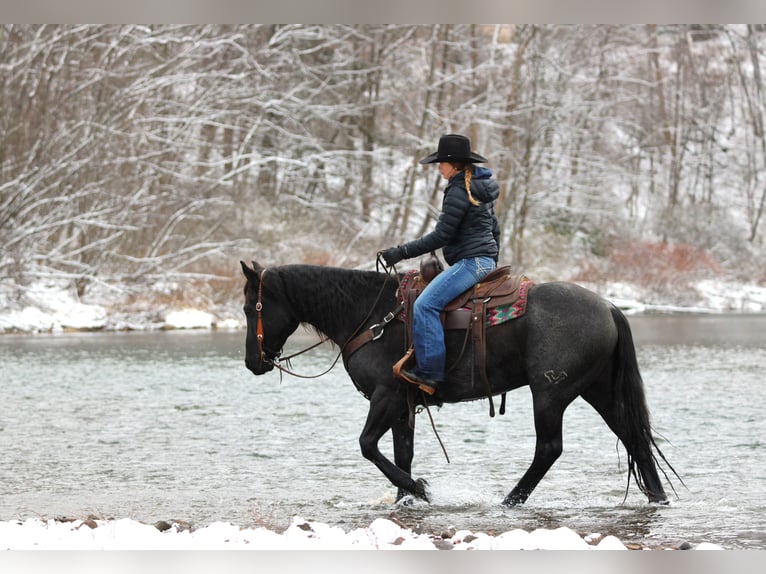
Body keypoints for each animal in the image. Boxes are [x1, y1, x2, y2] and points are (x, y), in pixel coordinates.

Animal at [240, 259, 677, 506]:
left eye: (249, 306)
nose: (252, 363)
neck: (370, 315)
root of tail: (608, 306)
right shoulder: (403, 404)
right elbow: (401, 453)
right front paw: (406, 498)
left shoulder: (386, 396)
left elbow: (368, 447)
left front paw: (421, 490)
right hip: (597, 389)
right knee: (634, 437)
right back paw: (657, 499)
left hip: (550, 394)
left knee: (549, 449)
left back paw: (509, 501)